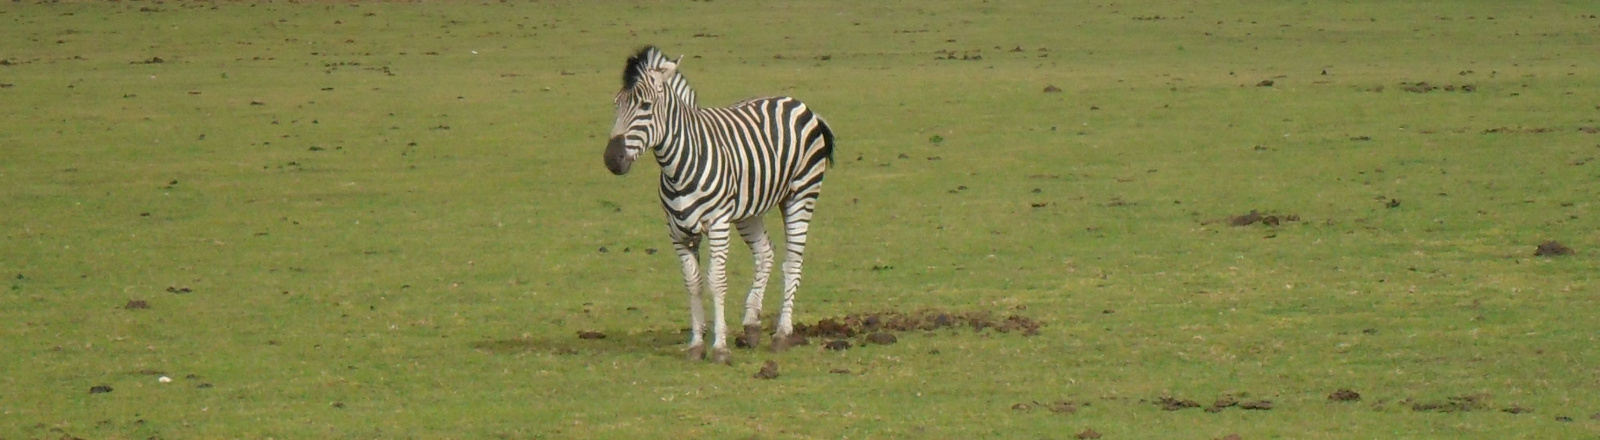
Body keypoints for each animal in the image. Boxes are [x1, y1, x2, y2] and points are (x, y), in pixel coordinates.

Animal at [604, 46, 835, 364]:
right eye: (617, 104)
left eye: (646, 106)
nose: (611, 160)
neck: (679, 165)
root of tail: (798, 103)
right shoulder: (677, 233)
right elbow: (693, 284)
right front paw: (696, 344)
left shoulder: (717, 224)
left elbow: (716, 282)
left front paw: (720, 347)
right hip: (749, 211)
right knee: (765, 253)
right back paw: (751, 325)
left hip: (801, 195)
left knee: (792, 262)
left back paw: (782, 334)